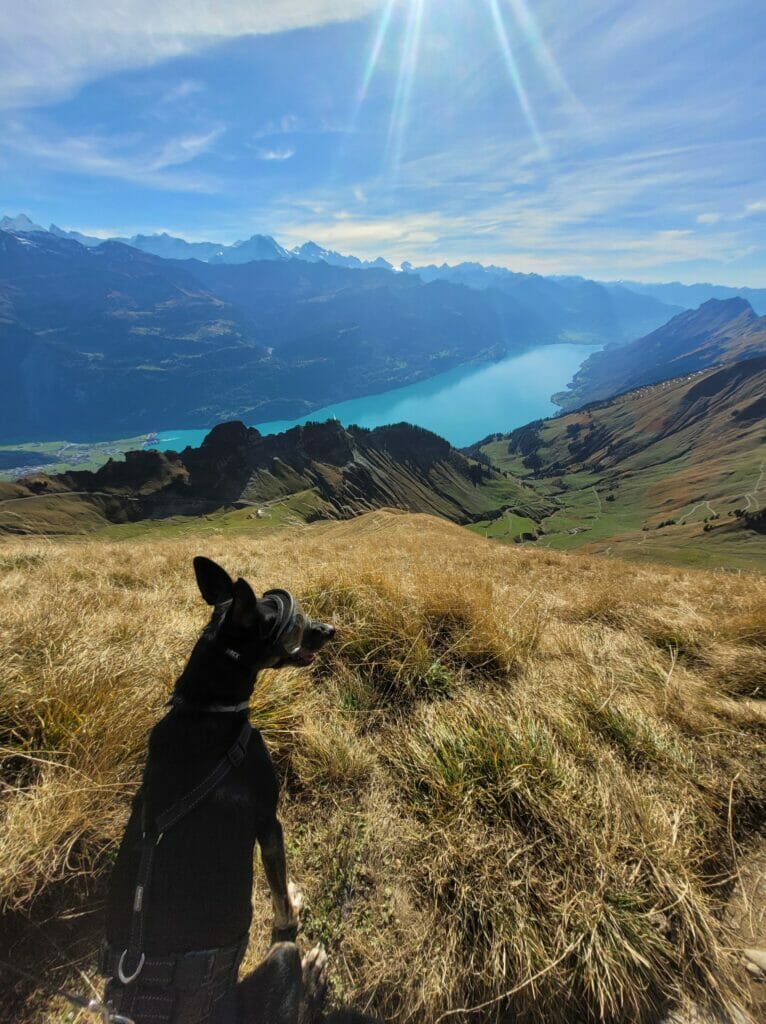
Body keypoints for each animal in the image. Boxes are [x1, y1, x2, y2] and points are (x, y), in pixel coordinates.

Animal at [100, 561, 331, 1024]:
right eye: (295, 624)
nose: (330, 630)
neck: (206, 706)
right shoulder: (268, 821)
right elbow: (279, 894)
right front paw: (292, 906)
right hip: (279, 965)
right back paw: (312, 977)